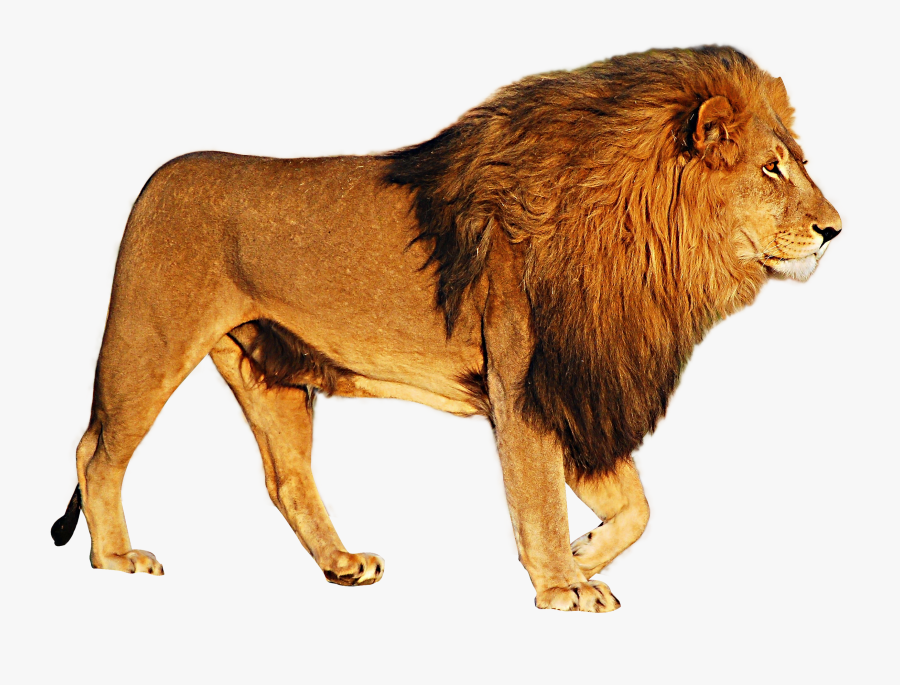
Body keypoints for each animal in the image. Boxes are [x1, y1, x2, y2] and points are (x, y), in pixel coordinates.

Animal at [52, 46, 840, 611]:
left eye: (799, 163)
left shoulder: (577, 384)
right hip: (149, 342)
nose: (836, 229)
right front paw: (563, 585)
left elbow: (638, 505)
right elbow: (539, 497)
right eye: (771, 169)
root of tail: (156, 178)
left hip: (269, 372)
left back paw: (342, 565)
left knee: (287, 478)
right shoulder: (526, 384)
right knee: (96, 450)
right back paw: (116, 558)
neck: (649, 247)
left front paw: (585, 552)